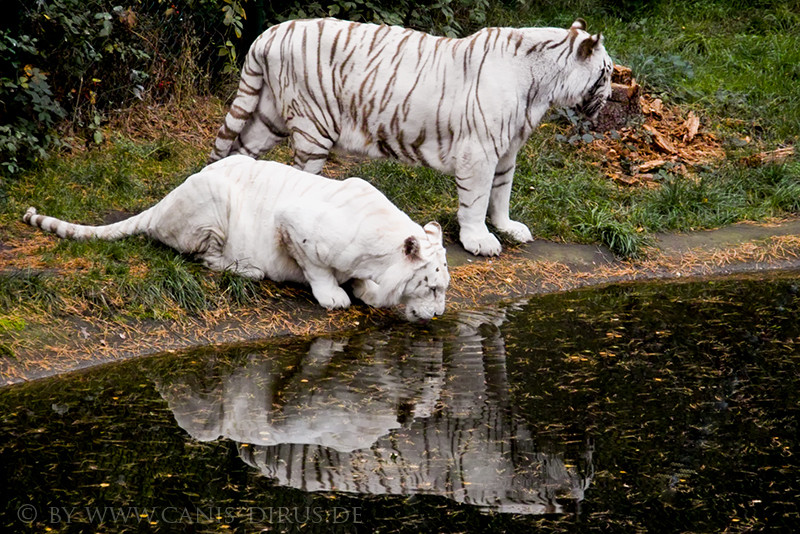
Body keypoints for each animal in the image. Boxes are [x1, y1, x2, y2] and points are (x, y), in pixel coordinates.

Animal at [21, 155, 450, 322]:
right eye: (432, 287)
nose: (439, 315)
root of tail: (164, 201)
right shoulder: (292, 222)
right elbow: (317, 269)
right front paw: (334, 297)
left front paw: (367, 291)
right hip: (213, 201)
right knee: (202, 257)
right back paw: (245, 268)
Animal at [211, 18, 612, 258]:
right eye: (607, 73)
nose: (609, 98)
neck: (541, 87)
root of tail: (270, 33)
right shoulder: (479, 149)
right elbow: (477, 199)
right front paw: (479, 240)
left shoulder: (507, 149)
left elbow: (502, 191)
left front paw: (507, 228)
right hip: (313, 126)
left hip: (269, 116)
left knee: (241, 150)